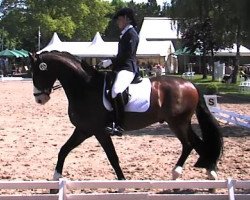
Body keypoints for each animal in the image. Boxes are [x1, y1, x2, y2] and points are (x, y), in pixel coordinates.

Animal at [28, 51, 223, 183]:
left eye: (37, 73)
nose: (39, 99)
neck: (85, 87)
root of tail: (190, 83)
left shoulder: (99, 131)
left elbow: (113, 157)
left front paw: (122, 183)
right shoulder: (84, 129)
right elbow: (63, 149)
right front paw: (55, 178)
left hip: (177, 123)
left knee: (188, 145)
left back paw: (177, 172)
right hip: (183, 122)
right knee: (198, 143)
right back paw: (210, 173)